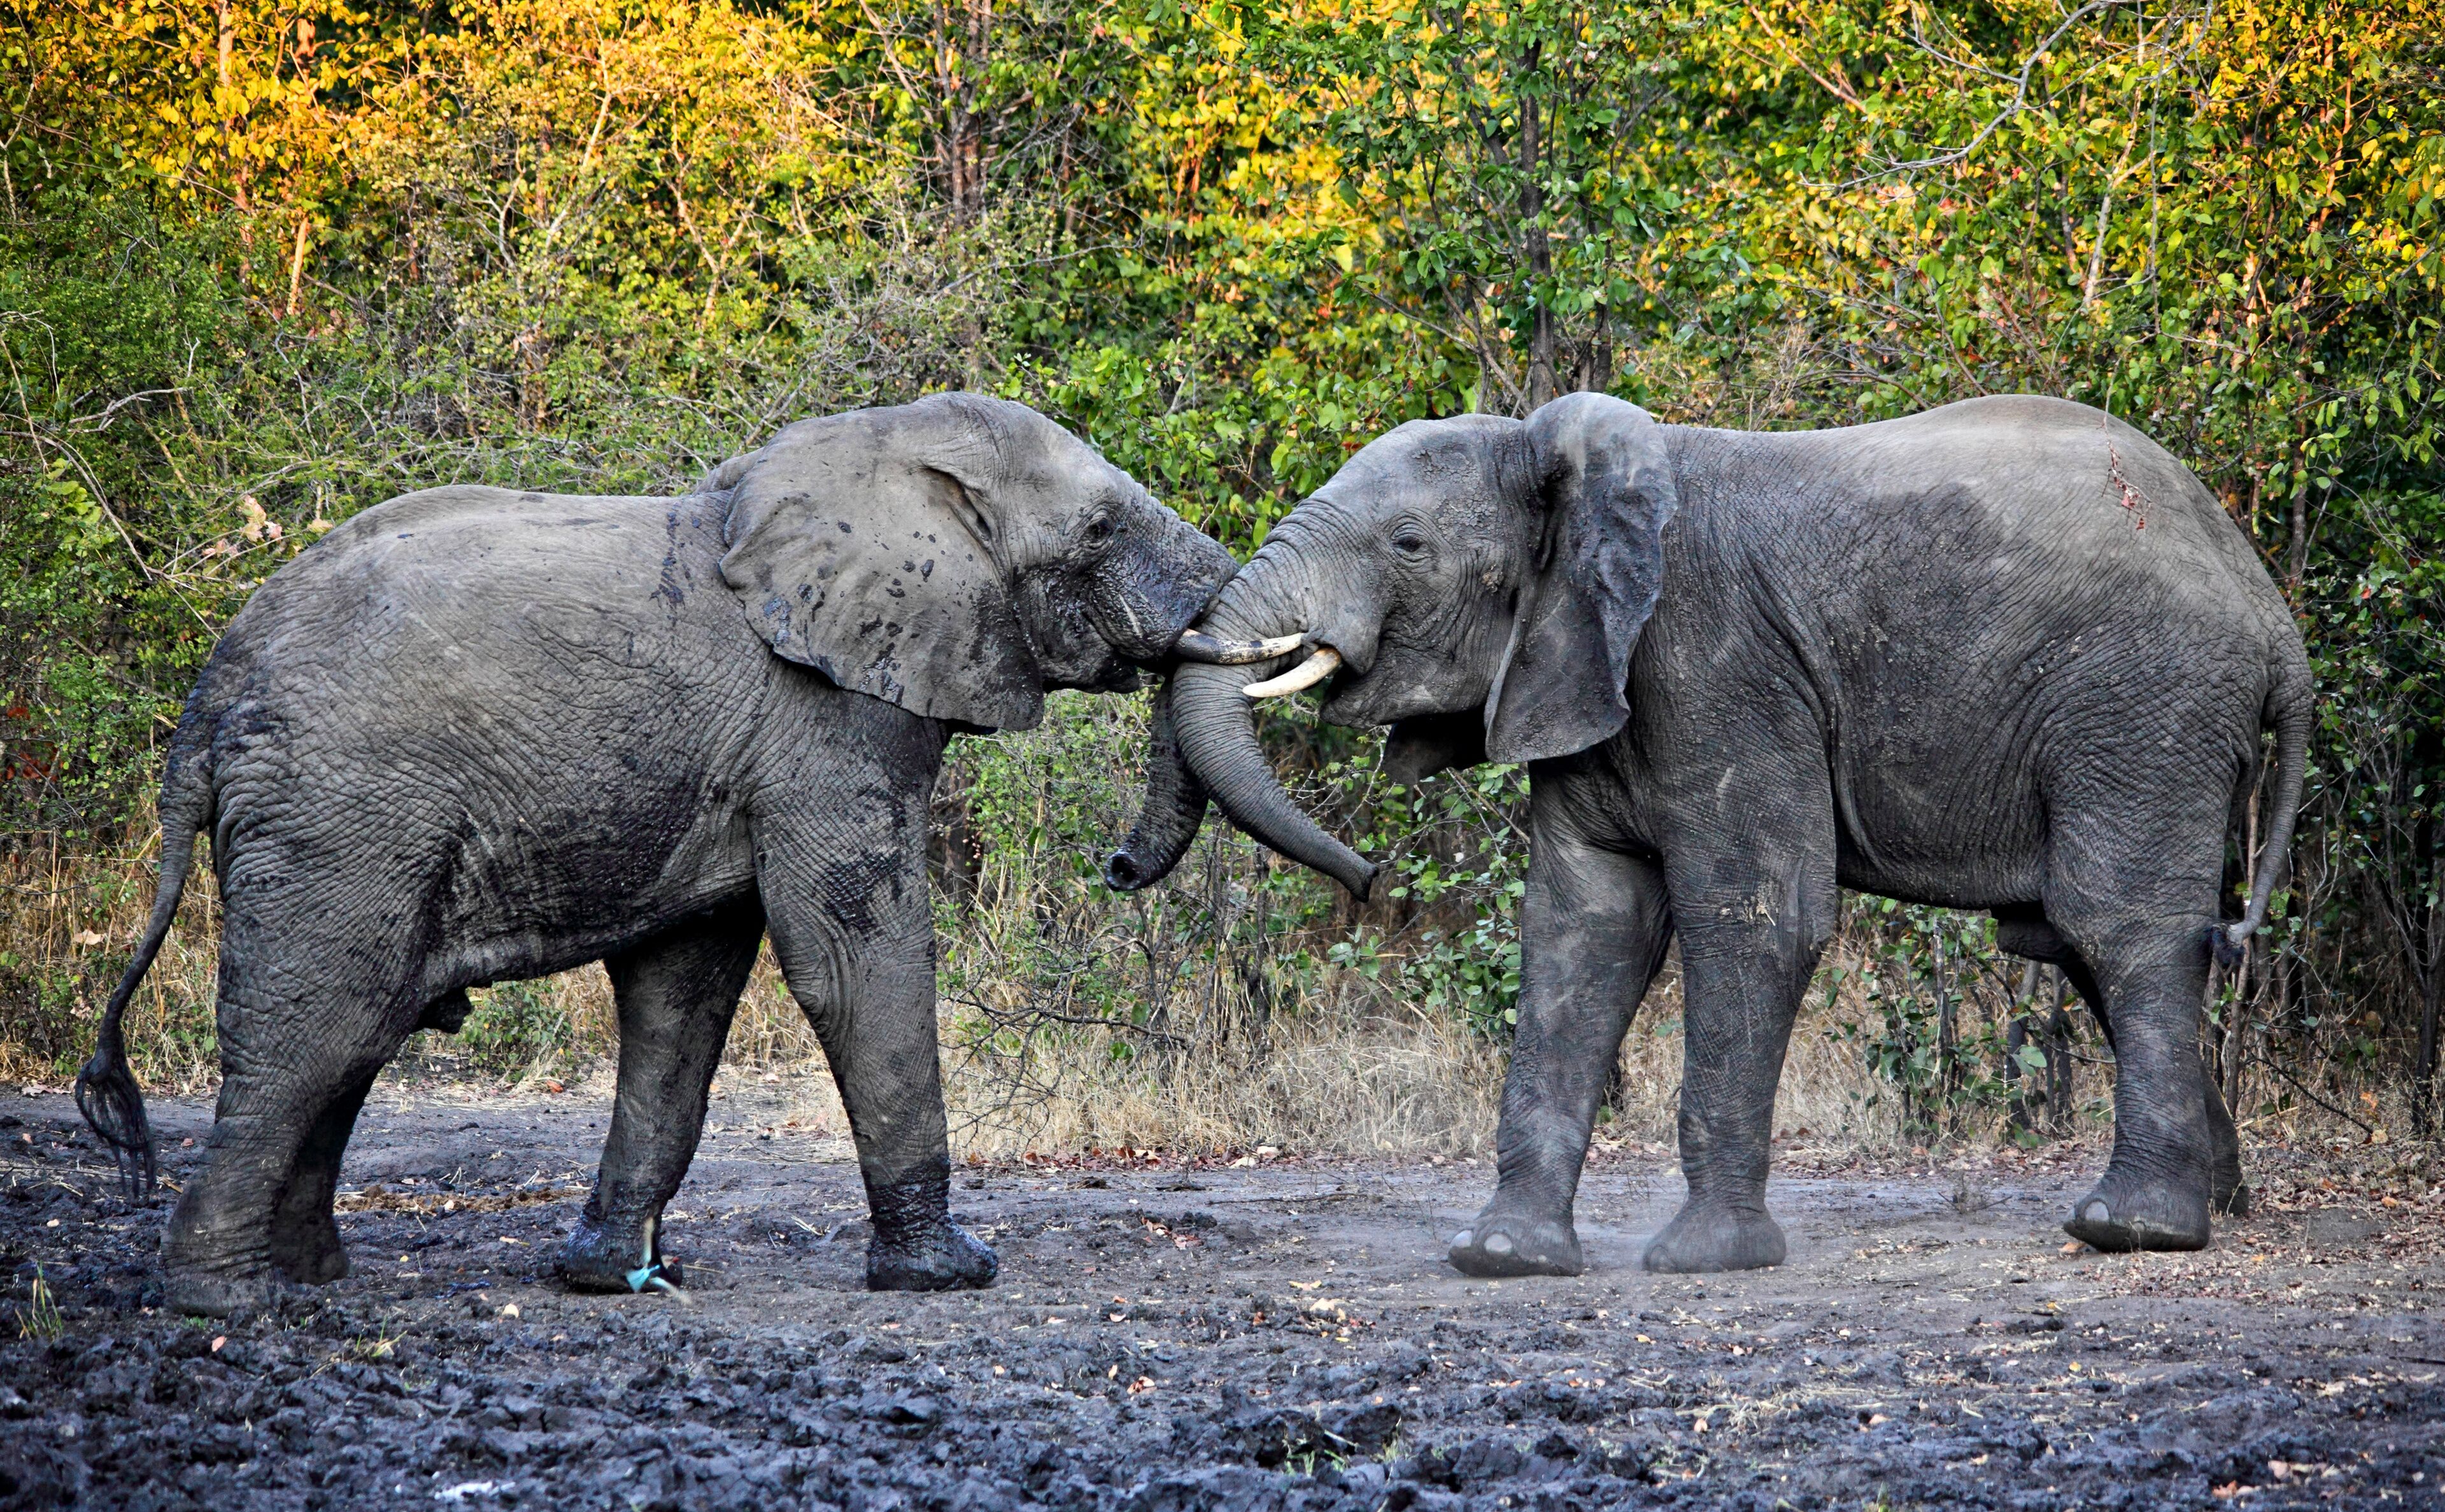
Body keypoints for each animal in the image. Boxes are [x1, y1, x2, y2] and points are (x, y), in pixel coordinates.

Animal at [76, 392, 1233, 1317]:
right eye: (1100, 526)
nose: (1117, 867)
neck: (873, 449)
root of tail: (208, 700)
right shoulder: (825, 715)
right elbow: (851, 956)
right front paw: (949, 1273)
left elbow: (683, 988)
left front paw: (614, 1276)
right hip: (343, 817)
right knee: (318, 1026)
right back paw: (229, 1301)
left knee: (353, 1036)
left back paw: (310, 1273)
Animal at [1129, 391, 2309, 1274]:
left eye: (1408, 543)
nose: (1371, 877)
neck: (1575, 469)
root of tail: (2270, 611)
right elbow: (1583, 932)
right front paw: (1503, 1257)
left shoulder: (1718, 666)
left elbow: (1755, 917)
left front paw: (1702, 1258)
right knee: (2078, 941)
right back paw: (2221, 1206)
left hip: (2143, 706)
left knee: (2115, 928)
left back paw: (2133, 1231)